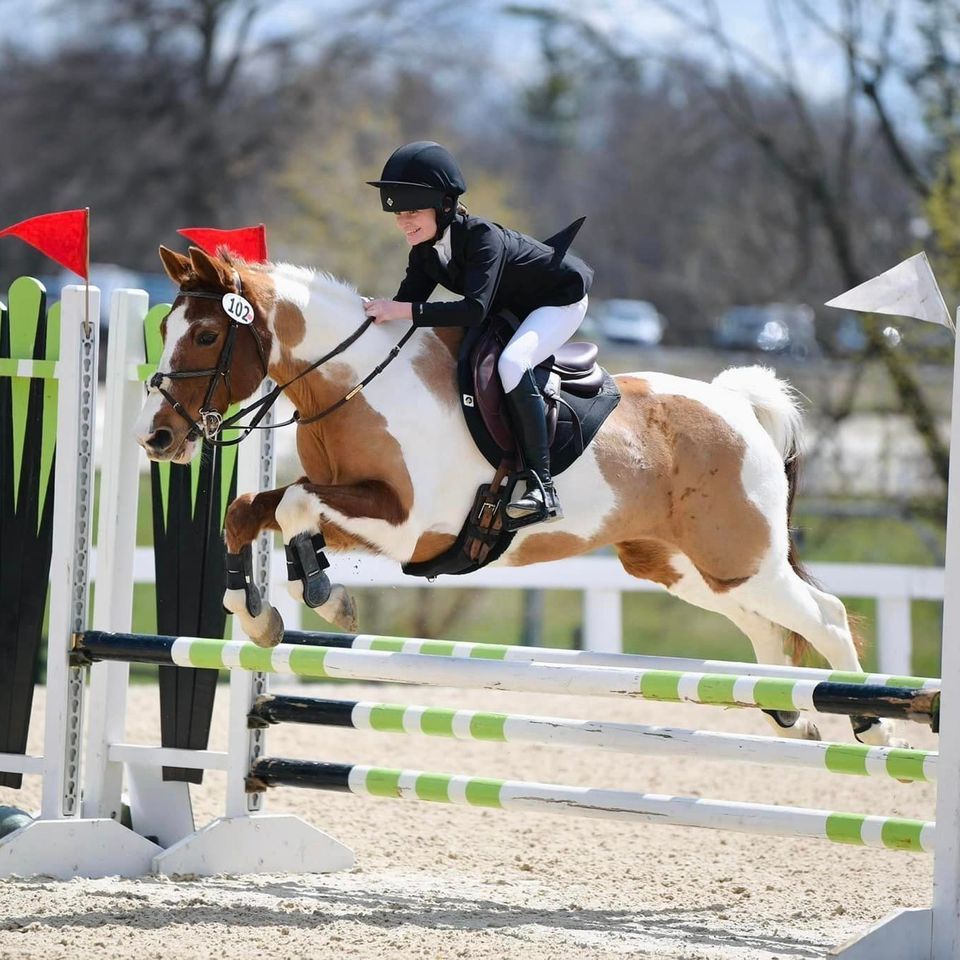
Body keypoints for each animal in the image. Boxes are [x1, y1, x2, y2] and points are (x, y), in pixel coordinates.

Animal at [133, 248, 900, 752]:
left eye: (207, 333)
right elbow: (251, 513)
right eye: (166, 329)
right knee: (767, 630)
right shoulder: (362, 511)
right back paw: (792, 715)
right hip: (686, 567)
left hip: (744, 558)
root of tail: (738, 404)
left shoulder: (408, 526)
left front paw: (321, 599)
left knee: (825, 618)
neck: (355, 385)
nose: (158, 437)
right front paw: (266, 611)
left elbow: (290, 505)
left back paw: (870, 721)